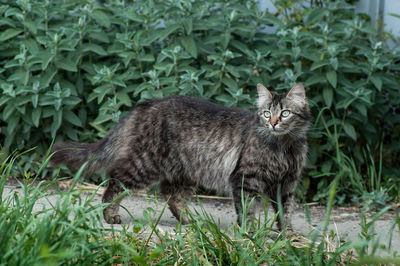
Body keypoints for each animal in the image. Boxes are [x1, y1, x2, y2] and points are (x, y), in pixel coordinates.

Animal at [50, 83, 312, 229]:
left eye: (285, 113)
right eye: (266, 113)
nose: (274, 123)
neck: (283, 148)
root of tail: (149, 103)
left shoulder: (286, 184)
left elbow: (285, 212)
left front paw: (287, 236)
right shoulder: (245, 179)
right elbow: (247, 211)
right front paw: (250, 234)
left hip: (186, 170)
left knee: (169, 194)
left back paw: (189, 221)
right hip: (144, 165)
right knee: (114, 182)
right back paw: (110, 215)